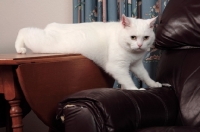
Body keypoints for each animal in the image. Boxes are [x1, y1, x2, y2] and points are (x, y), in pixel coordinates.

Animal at [15, 14, 162, 90]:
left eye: (146, 37)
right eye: (133, 37)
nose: (140, 45)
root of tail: (51, 26)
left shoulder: (136, 65)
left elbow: (145, 75)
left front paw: (153, 84)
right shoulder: (117, 67)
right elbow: (128, 81)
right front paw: (136, 90)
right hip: (41, 43)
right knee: (24, 31)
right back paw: (20, 48)